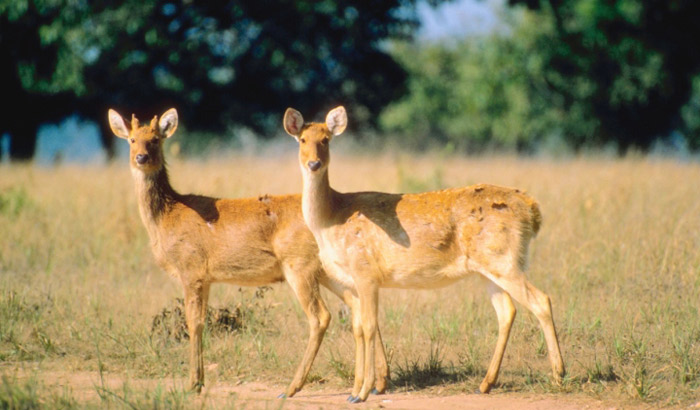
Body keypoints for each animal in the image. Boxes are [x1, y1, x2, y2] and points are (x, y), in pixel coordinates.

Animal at [110, 109, 394, 400]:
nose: (141, 158)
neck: (168, 217)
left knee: (321, 316)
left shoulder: (191, 268)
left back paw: (291, 388)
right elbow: (200, 321)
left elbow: (194, 323)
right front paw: (199, 380)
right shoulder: (206, 278)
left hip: (299, 265)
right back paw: (379, 383)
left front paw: (193, 384)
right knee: (358, 307)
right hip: (328, 271)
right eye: (132, 139)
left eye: (155, 139)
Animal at [284, 106, 568, 404]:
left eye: (326, 139)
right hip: (489, 267)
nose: (314, 164)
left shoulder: (366, 272)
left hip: (504, 259)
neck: (332, 218)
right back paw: (486, 383)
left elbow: (370, 327)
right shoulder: (350, 280)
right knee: (507, 311)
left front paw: (362, 392)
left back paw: (558, 375)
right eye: (302, 139)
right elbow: (359, 328)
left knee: (541, 300)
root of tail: (532, 209)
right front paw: (353, 392)